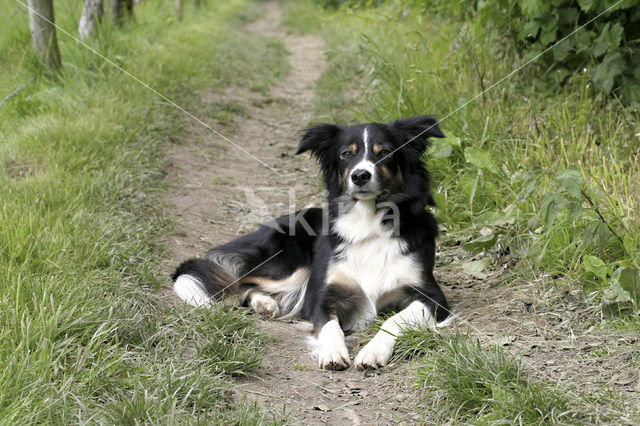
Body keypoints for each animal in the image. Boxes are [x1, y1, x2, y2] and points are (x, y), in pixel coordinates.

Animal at [171, 115, 450, 370]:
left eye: (385, 153)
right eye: (346, 154)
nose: (360, 175)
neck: (368, 221)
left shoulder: (432, 296)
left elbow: (394, 320)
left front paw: (373, 351)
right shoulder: (322, 294)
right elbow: (329, 325)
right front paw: (333, 351)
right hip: (293, 265)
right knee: (239, 282)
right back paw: (264, 302)